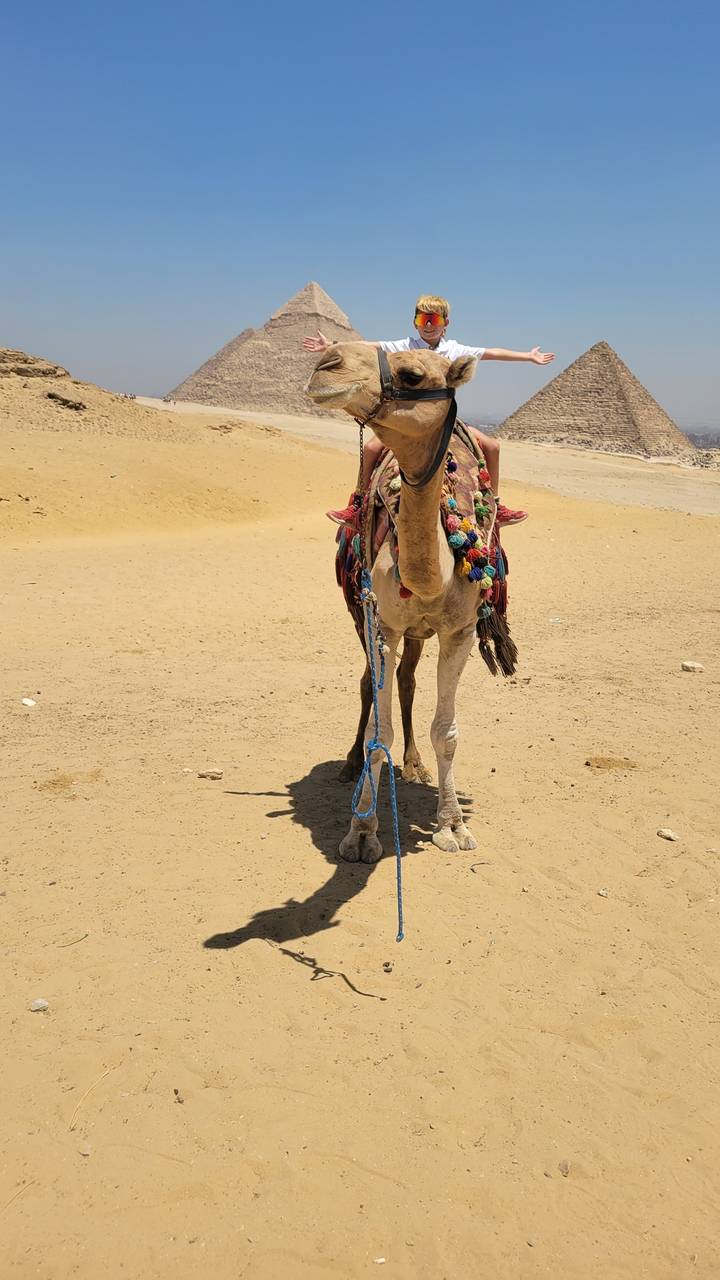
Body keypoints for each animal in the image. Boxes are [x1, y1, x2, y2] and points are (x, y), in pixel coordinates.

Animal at [306, 342, 515, 864]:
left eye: (413, 376)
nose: (326, 364)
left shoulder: (459, 630)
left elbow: (447, 730)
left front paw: (453, 825)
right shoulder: (384, 625)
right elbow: (379, 731)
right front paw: (362, 832)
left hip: (421, 633)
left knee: (407, 681)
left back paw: (415, 764)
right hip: (360, 614)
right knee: (368, 683)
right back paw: (349, 764)